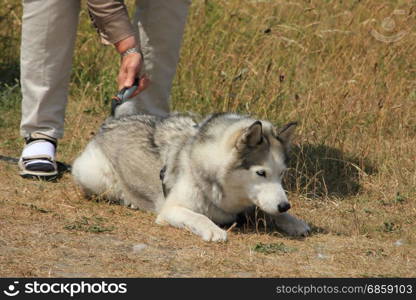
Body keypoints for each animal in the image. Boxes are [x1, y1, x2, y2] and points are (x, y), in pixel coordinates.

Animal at [71, 112, 310, 241]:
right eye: (261, 173)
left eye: (281, 173)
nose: (285, 205)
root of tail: (110, 122)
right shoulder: (170, 210)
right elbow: (199, 216)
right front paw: (213, 230)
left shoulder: (251, 204)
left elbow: (267, 211)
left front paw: (293, 221)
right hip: (94, 176)